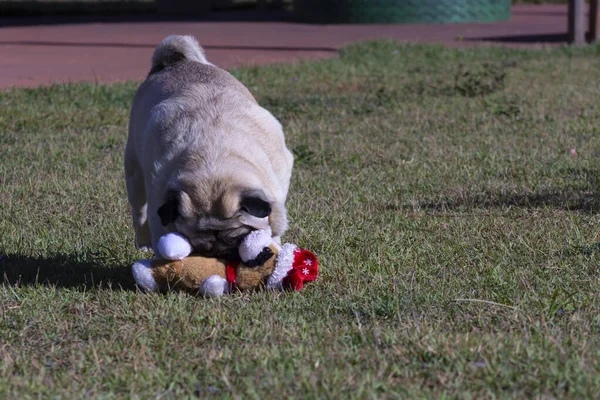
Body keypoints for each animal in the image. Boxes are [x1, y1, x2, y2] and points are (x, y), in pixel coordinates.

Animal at [125, 35, 294, 260]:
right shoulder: (158, 200)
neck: (214, 162)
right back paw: (143, 243)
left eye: (238, 237)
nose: (218, 252)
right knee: (139, 213)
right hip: (134, 177)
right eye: (198, 245)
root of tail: (173, 64)